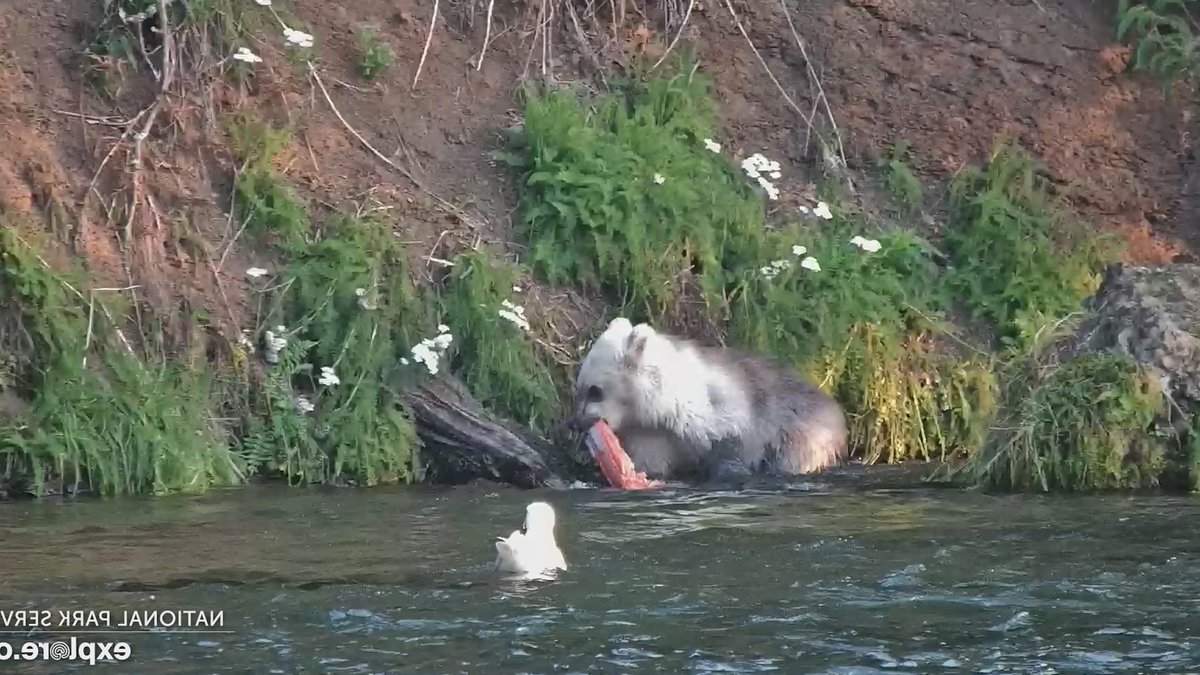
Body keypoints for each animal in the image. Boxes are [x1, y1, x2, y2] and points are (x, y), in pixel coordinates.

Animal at [568, 317, 848, 484]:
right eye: (578, 387)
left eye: (595, 390)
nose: (576, 423)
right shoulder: (651, 434)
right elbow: (650, 460)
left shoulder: (729, 415)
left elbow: (733, 449)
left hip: (802, 436)